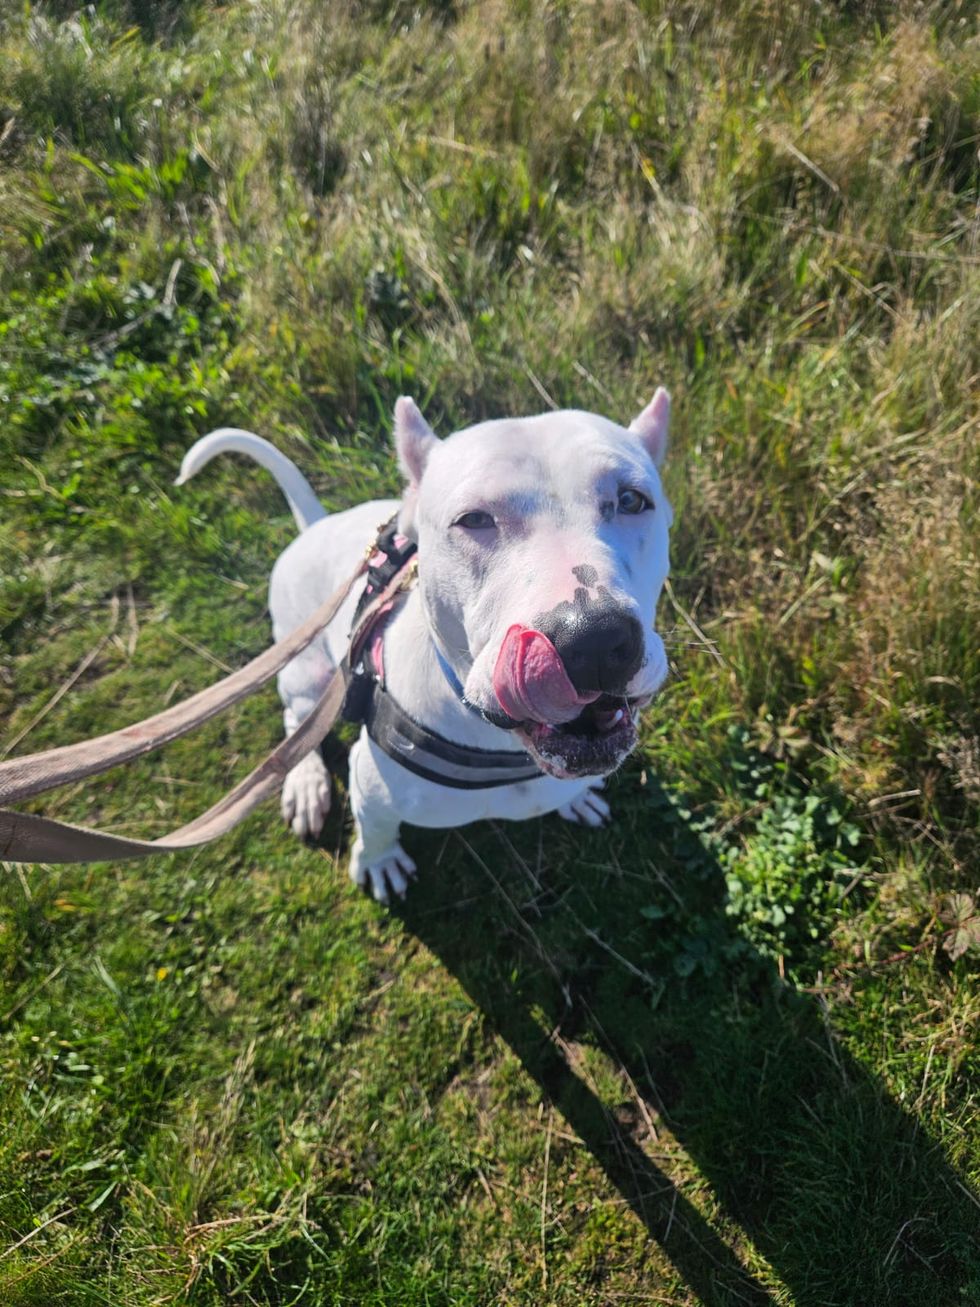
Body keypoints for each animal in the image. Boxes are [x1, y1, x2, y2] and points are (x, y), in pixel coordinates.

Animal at [176, 386, 674, 899]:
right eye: (472, 519)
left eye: (632, 499)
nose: (591, 640)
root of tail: (315, 526)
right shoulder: (371, 785)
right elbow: (376, 829)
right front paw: (377, 862)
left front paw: (577, 800)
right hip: (306, 674)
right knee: (297, 722)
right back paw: (307, 783)